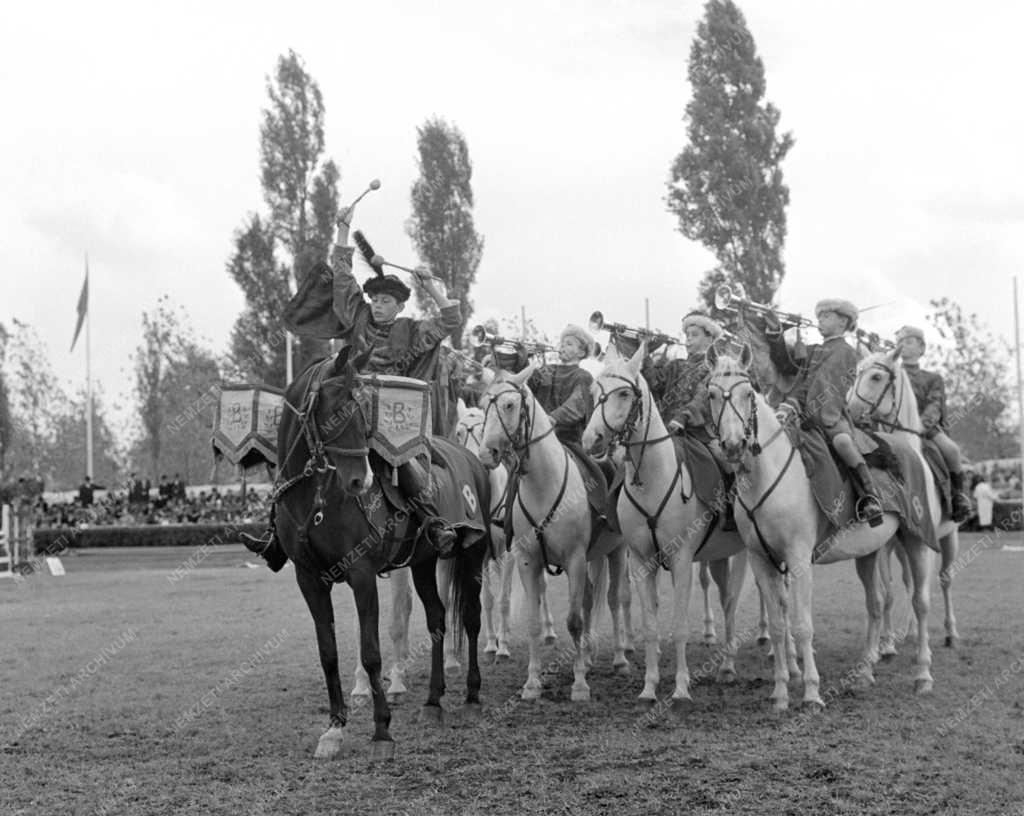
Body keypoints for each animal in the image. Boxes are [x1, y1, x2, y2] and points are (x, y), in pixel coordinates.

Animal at [272, 346, 487, 757]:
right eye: (335, 411)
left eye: (363, 412)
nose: (361, 480)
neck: (316, 499)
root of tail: (472, 458)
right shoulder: (309, 580)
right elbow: (328, 653)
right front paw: (334, 729)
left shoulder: (361, 575)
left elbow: (371, 652)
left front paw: (382, 728)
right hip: (422, 562)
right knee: (437, 618)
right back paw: (433, 702)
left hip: (473, 555)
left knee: (470, 617)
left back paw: (471, 696)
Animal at [479, 366, 630, 696]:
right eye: (484, 405)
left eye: (509, 404)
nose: (486, 453)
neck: (543, 486)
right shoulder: (528, 560)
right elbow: (534, 623)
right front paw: (532, 683)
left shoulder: (574, 558)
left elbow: (573, 620)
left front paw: (580, 685)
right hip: (593, 557)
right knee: (590, 598)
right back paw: (588, 656)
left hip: (617, 551)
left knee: (614, 599)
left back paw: (619, 659)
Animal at [585, 339, 745, 704]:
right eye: (595, 390)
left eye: (623, 393)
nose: (591, 440)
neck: (651, 480)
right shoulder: (641, 561)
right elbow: (650, 626)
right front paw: (649, 686)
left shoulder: (682, 560)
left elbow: (680, 627)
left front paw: (682, 688)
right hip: (719, 557)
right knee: (727, 598)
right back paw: (727, 667)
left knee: (741, 601)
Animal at [712, 344, 937, 708]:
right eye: (712, 394)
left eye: (747, 394)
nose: (733, 445)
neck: (767, 476)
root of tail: (911, 452)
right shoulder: (762, 560)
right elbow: (778, 626)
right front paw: (780, 693)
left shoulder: (799, 559)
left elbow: (802, 626)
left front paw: (812, 693)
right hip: (870, 552)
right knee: (876, 604)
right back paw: (864, 674)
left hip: (915, 542)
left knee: (920, 603)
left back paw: (923, 676)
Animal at [847, 346, 958, 651]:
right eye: (856, 373)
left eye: (876, 377)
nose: (849, 411)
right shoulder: (886, 544)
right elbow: (888, 594)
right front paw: (885, 645)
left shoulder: (925, 541)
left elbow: (923, 594)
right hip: (901, 546)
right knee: (909, 582)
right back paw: (907, 632)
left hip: (949, 537)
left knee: (945, 580)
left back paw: (950, 633)